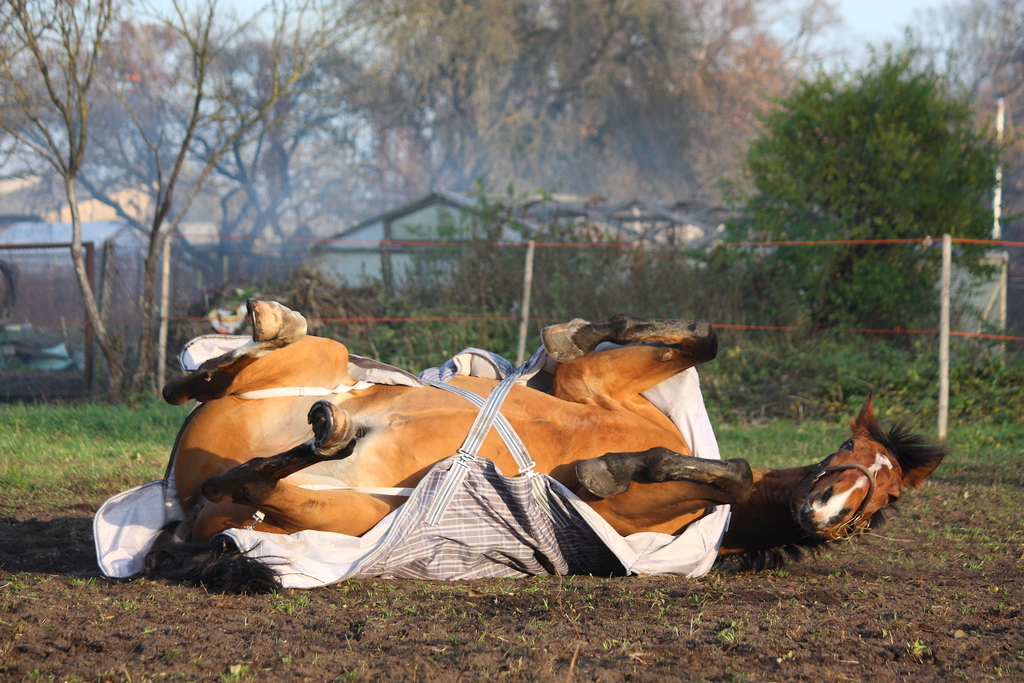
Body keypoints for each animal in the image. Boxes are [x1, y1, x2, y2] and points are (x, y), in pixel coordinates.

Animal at [143, 299, 946, 591]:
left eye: (877, 503)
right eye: (846, 453)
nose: (824, 509)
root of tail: (178, 502)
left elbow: (730, 472)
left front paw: (601, 470)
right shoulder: (595, 384)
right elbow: (696, 338)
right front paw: (572, 334)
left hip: (333, 507)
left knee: (242, 477)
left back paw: (323, 423)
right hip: (314, 371)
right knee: (199, 386)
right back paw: (268, 326)